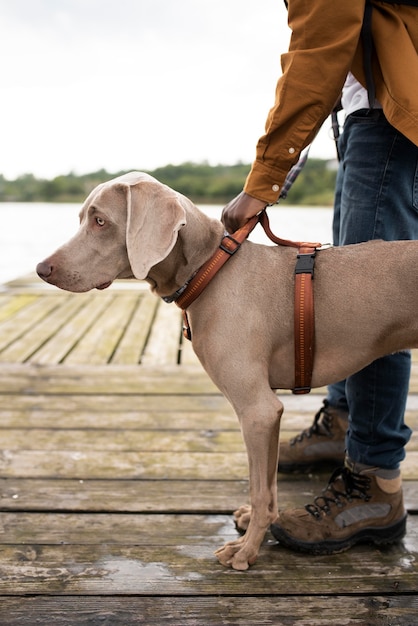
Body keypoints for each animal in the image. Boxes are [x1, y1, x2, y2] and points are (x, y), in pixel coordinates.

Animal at [36, 172, 418, 572]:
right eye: (83, 217)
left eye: (100, 221)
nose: (41, 269)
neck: (209, 271)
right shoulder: (268, 413)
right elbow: (267, 483)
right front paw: (256, 524)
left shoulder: (257, 410)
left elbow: (259, 486)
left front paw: (246, 551)